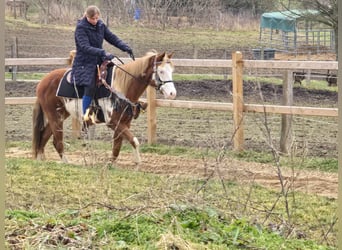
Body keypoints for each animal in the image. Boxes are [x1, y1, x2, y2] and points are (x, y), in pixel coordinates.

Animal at [32, 50, 176, 164]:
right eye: (161, 71)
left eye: (172, 71)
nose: (172, 94)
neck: (121, 87)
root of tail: (43, 81)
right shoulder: (113, 122)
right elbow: (134, 140)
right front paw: (137, 163)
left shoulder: (124, 123)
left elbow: (117, 146)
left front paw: (110, 164)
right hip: (54, 116)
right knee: (57, 141)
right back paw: (66, 162)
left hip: (60, 115)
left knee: (44, 136)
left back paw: (41, 160)